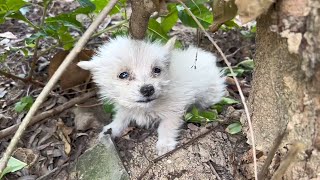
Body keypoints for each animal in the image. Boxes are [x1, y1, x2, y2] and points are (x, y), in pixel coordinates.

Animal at [77, 36, 225, 155]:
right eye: (123, 75)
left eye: (157, 70)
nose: (148, 89)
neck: (146, 107)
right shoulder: (126, 108)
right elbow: (121, 118)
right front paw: (112, 129)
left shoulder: (174, 109)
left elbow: (166, 126)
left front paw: (165, 144)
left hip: (209, 95)